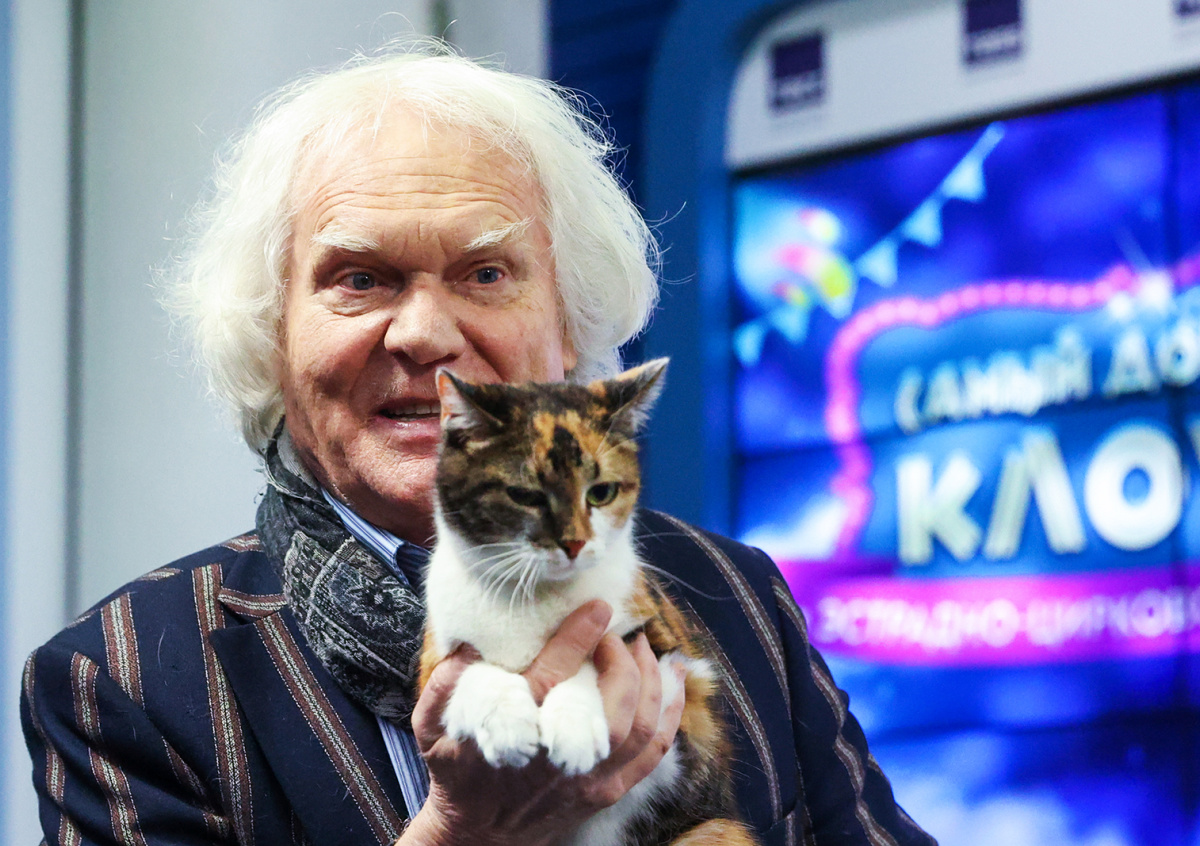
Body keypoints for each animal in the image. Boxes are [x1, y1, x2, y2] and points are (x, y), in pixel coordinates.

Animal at [417, 359, 760, 846]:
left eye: (601, 492)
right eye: (524, 495)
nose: (575, 543)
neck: (534, 594)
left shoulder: (680, 691)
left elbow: (594, 659)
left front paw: (574, 730)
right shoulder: (434, 664)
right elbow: (472, 671)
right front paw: (506, 726)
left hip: (713, 828)